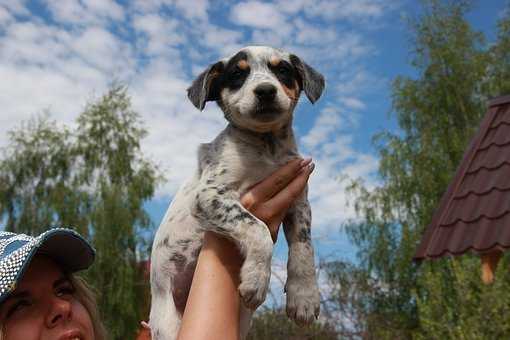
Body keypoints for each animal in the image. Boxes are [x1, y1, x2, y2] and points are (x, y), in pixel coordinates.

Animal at [149, 45, 324, 340]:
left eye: (283, 70)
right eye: (237, 75)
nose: (265, 91)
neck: (266, 145)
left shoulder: (299, 200)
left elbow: (304, 247)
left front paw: (305, 296)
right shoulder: (210, 195)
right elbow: (257, 228)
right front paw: (256, 277)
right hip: (167, 327)